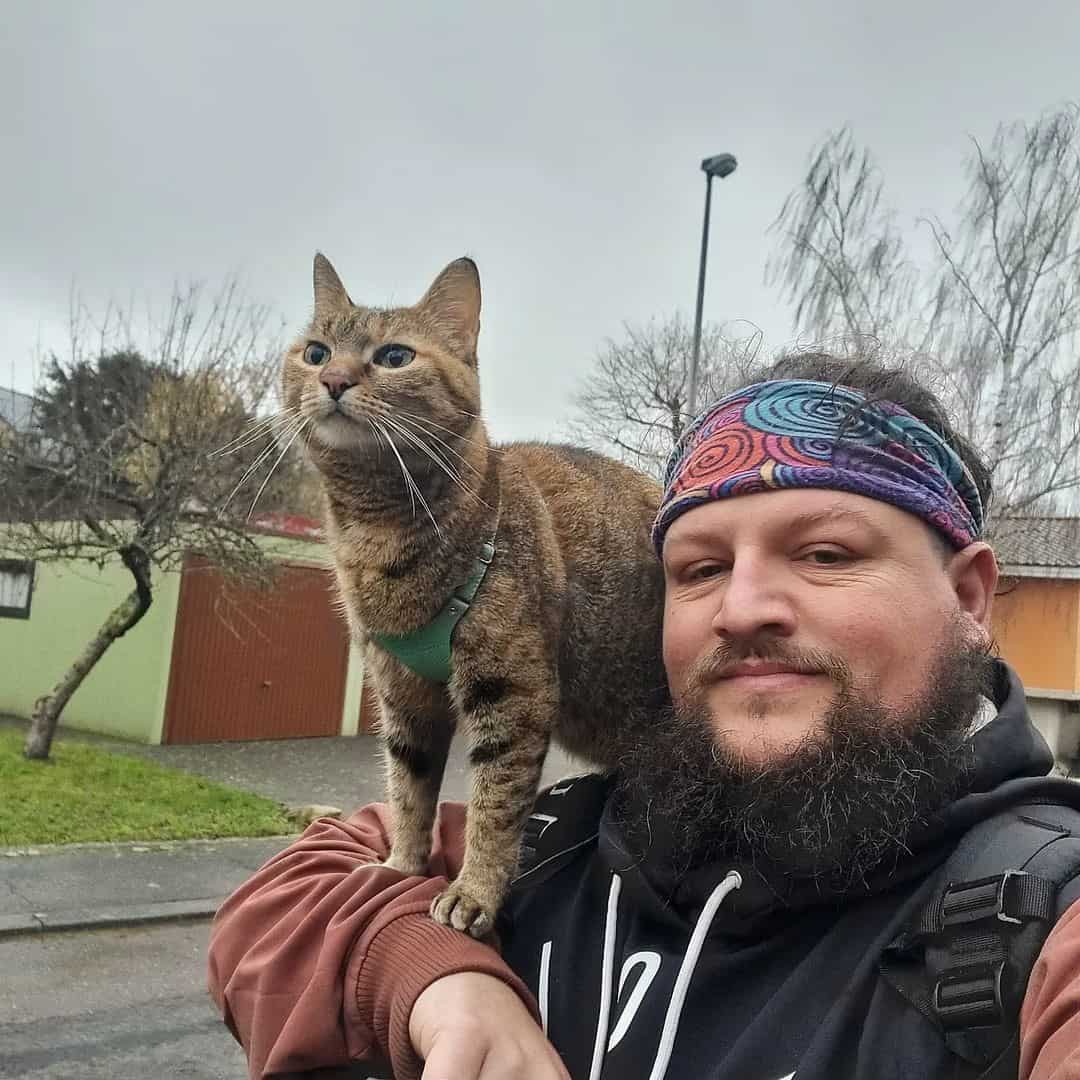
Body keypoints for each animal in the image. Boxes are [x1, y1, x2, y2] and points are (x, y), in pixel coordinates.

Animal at [282, 254, 660, 937]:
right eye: (316, 350)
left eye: (395, 356)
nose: (333, 379)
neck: (376, 531)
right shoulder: (401, 694)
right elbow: (408, 788)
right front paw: (402, 866)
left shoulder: (510, 691)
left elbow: (495, 804)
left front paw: (474, 891)